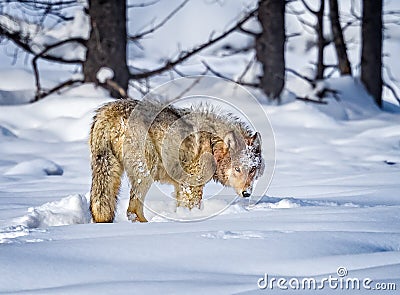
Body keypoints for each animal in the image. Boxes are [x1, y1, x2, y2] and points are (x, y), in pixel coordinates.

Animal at [91, 99, 266, 222]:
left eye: (252, 170)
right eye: (237, 169)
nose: (246, 193)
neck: (212, 144)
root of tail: (109, 111)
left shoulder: (180, 186)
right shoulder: (191, 185)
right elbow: (191, 207)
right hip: (146, 172)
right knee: (132, 211)